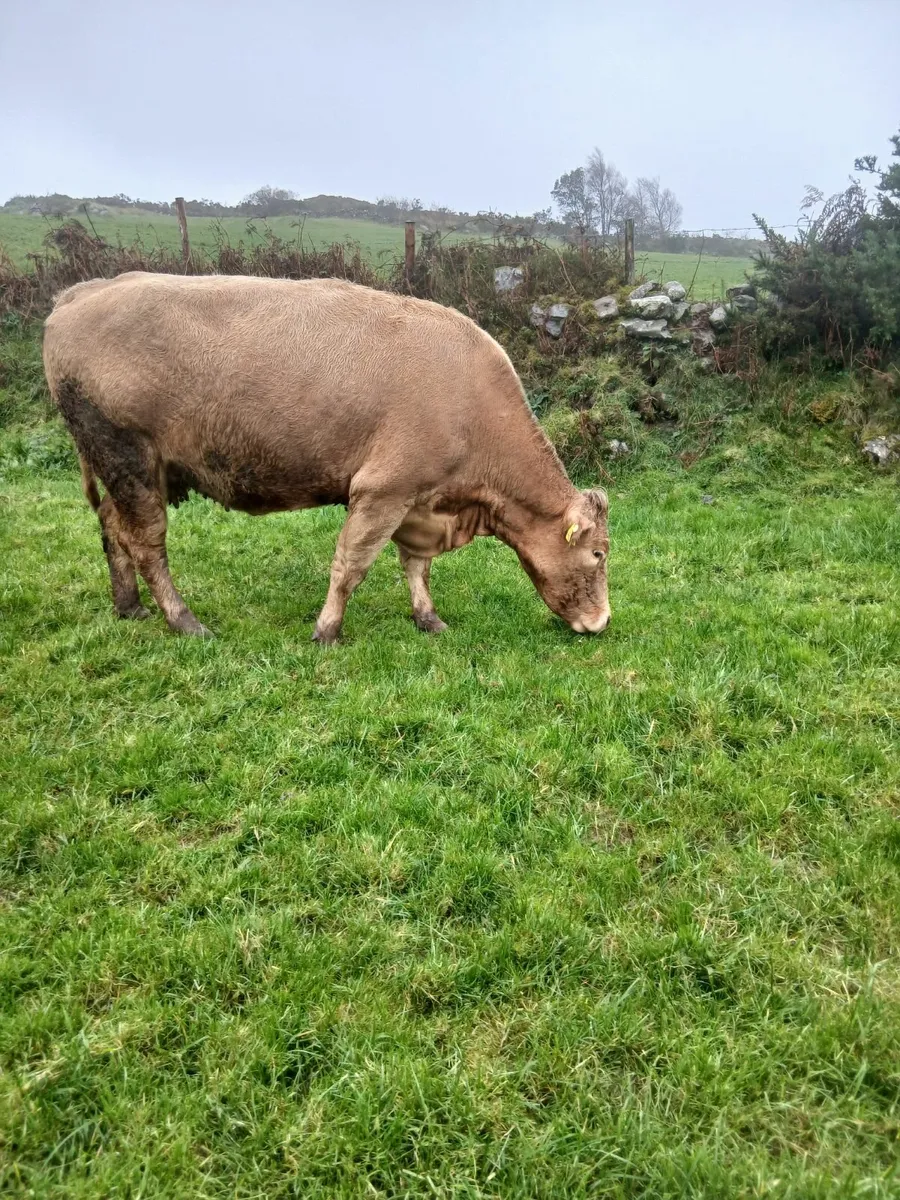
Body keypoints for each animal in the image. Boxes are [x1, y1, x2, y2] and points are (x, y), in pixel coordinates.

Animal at [42, 273, 610, 642]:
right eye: (599, 554)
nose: (603, 622)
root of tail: (80, 293)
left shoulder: (417, 501)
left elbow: (416, 566)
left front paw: (428, 619)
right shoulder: (382, 490)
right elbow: (351, 565)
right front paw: (327, 630)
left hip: (121, 468)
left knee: (112, 528)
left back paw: (129, 606)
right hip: (128, 457)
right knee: (146, 544)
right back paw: (185, 622)